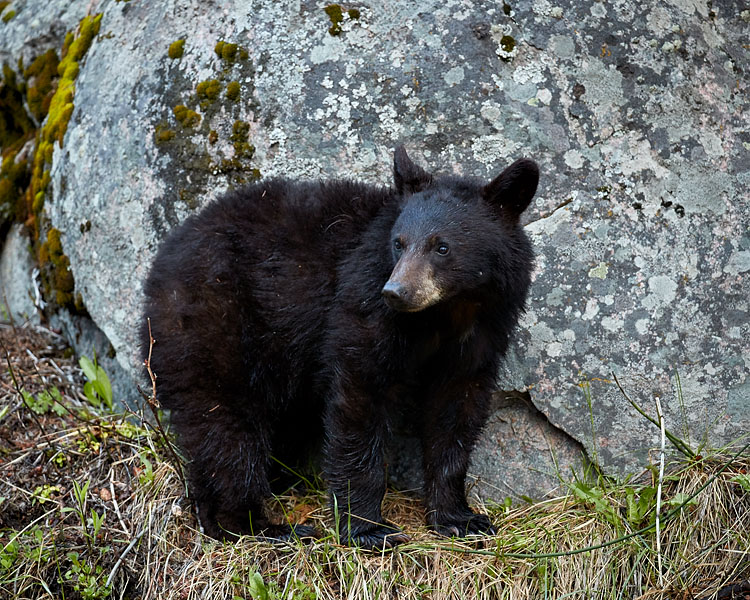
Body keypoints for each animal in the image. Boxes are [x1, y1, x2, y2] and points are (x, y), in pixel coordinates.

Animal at [141, 146, 538, 549]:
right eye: (398, 243)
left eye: (442, 247)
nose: (396, 292)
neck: (445, 314)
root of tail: (161, 264)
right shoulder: (363, 303)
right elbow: (359, 399)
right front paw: (369, 528)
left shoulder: (481, 334)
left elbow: (457, 412)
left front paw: (460, 518)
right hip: (217, 325)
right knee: (225, 426)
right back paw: (260, 526)